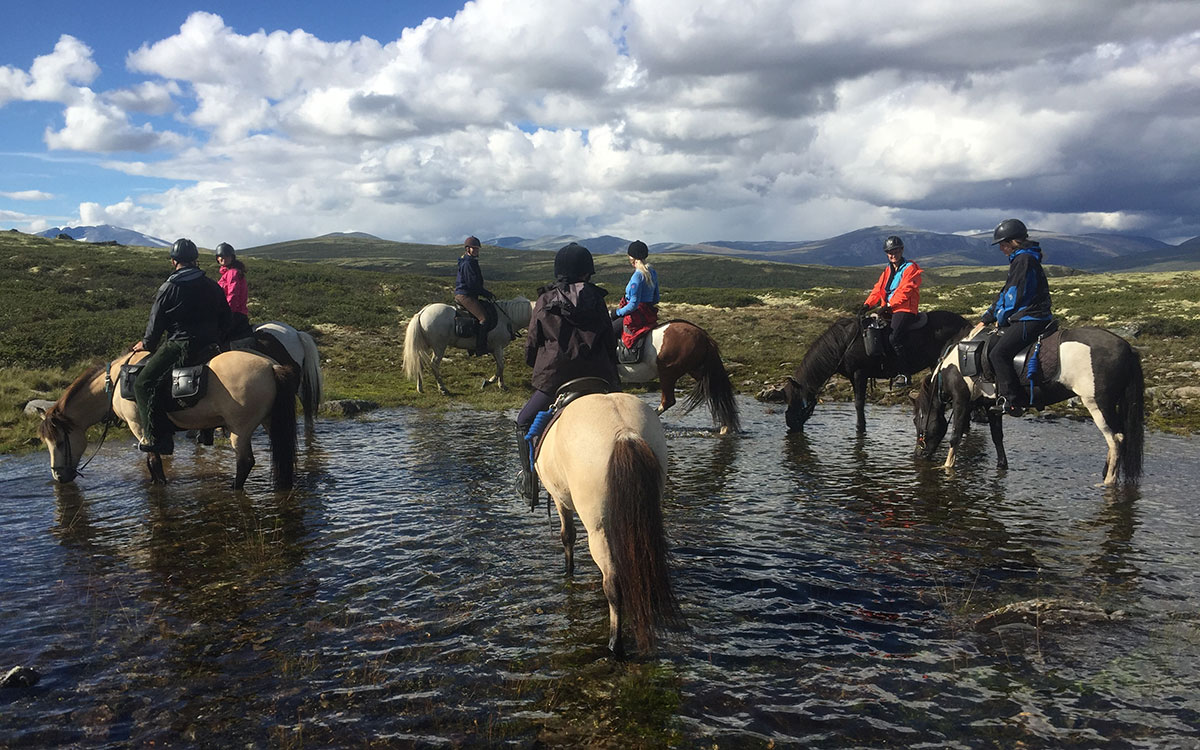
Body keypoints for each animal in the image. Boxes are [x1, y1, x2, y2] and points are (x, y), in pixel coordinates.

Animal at [38, 350, 300, 492]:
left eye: (59, 442)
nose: (59, 476)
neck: (113, 386)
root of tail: (272, 366)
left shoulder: (140, 427)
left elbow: (153, 461)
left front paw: (159, 485)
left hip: (240, 429)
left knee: (245, 462)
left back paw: (235, 487)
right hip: (270, 421)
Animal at [400, 295, 532, 396]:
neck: (506, 318)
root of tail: (422, 312)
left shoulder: (497, 349)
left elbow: (500, 366)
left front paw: (501, 385)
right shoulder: (498, 347)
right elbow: (501, 366)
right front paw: (489, 382)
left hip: (426, 346)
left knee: (419, 363)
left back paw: (420, 388)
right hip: (439, 347)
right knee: (434, 364)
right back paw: (443, 389)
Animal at [535, 391, 686, 652]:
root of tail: (625, 433)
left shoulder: (559, 499)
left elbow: (567, 537)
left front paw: (568, 571)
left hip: (598, 530)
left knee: (613, 585)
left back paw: (615, 644)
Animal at [782, 307, 969, 429]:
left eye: (795, 397)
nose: (789, 422)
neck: (844, 343)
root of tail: (966, 323)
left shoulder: (860, 374)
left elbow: (859, 404)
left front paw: (860, 428)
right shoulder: (853, 376)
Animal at [912, 324, 1147, 489]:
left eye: (917, 419)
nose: (918, 455)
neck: (953, 367)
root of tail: (1127, 347)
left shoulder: (962, 401)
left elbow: (955, 435)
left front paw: (946, 467)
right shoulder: (991, 407)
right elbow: (997, 438)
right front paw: (1001, 466)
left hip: (1098, 404)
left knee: (1115, 439)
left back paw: (1108, 481)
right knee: (1118, 439)